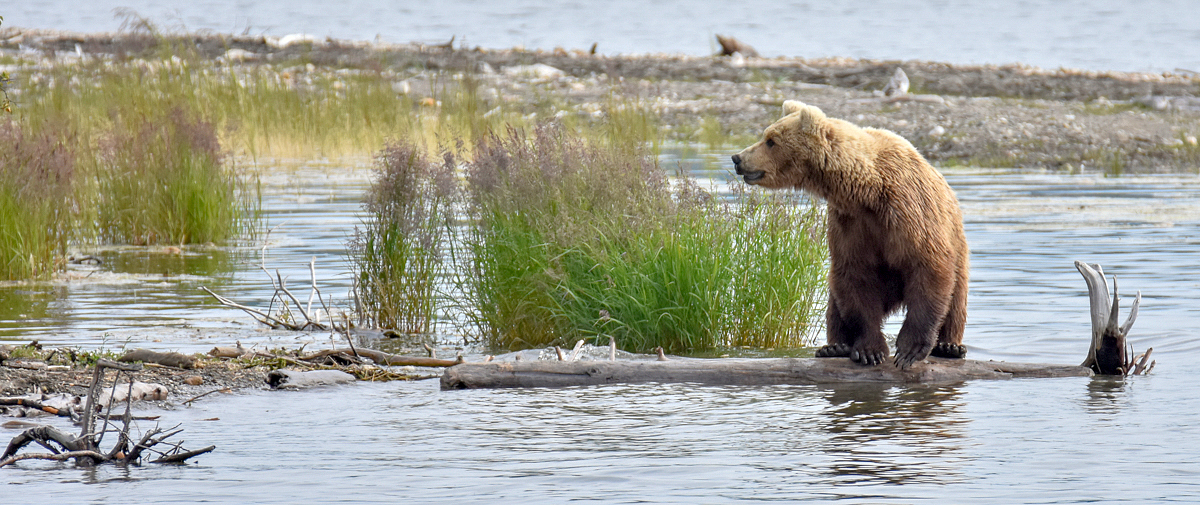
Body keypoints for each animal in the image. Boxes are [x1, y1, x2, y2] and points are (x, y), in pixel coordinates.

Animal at [724, 99, 969, 367]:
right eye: (766, 135)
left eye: (771, 140)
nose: (737, 158)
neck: (867, 191)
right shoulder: (850, 224)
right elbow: (854, 279)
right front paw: (869, 350)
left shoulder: (908, 213)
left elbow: (928, 267)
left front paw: (908, 350)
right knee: (834, 304)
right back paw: (835, 347)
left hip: (958, 245)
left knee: (956, 297)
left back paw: (949, 346)